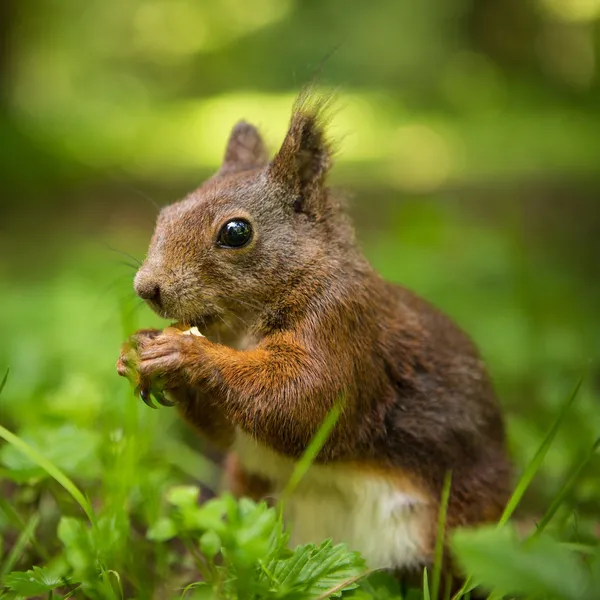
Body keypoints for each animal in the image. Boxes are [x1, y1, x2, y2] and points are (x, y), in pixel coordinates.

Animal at [116, 92, 510, 580]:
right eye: (165, 214)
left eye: (236, 231)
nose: (146, 288)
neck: (241, 331)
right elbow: (231, 432)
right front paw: (137, 347)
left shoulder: (346, 325)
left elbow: (306, 400)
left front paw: (183, 352)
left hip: (458, 525)